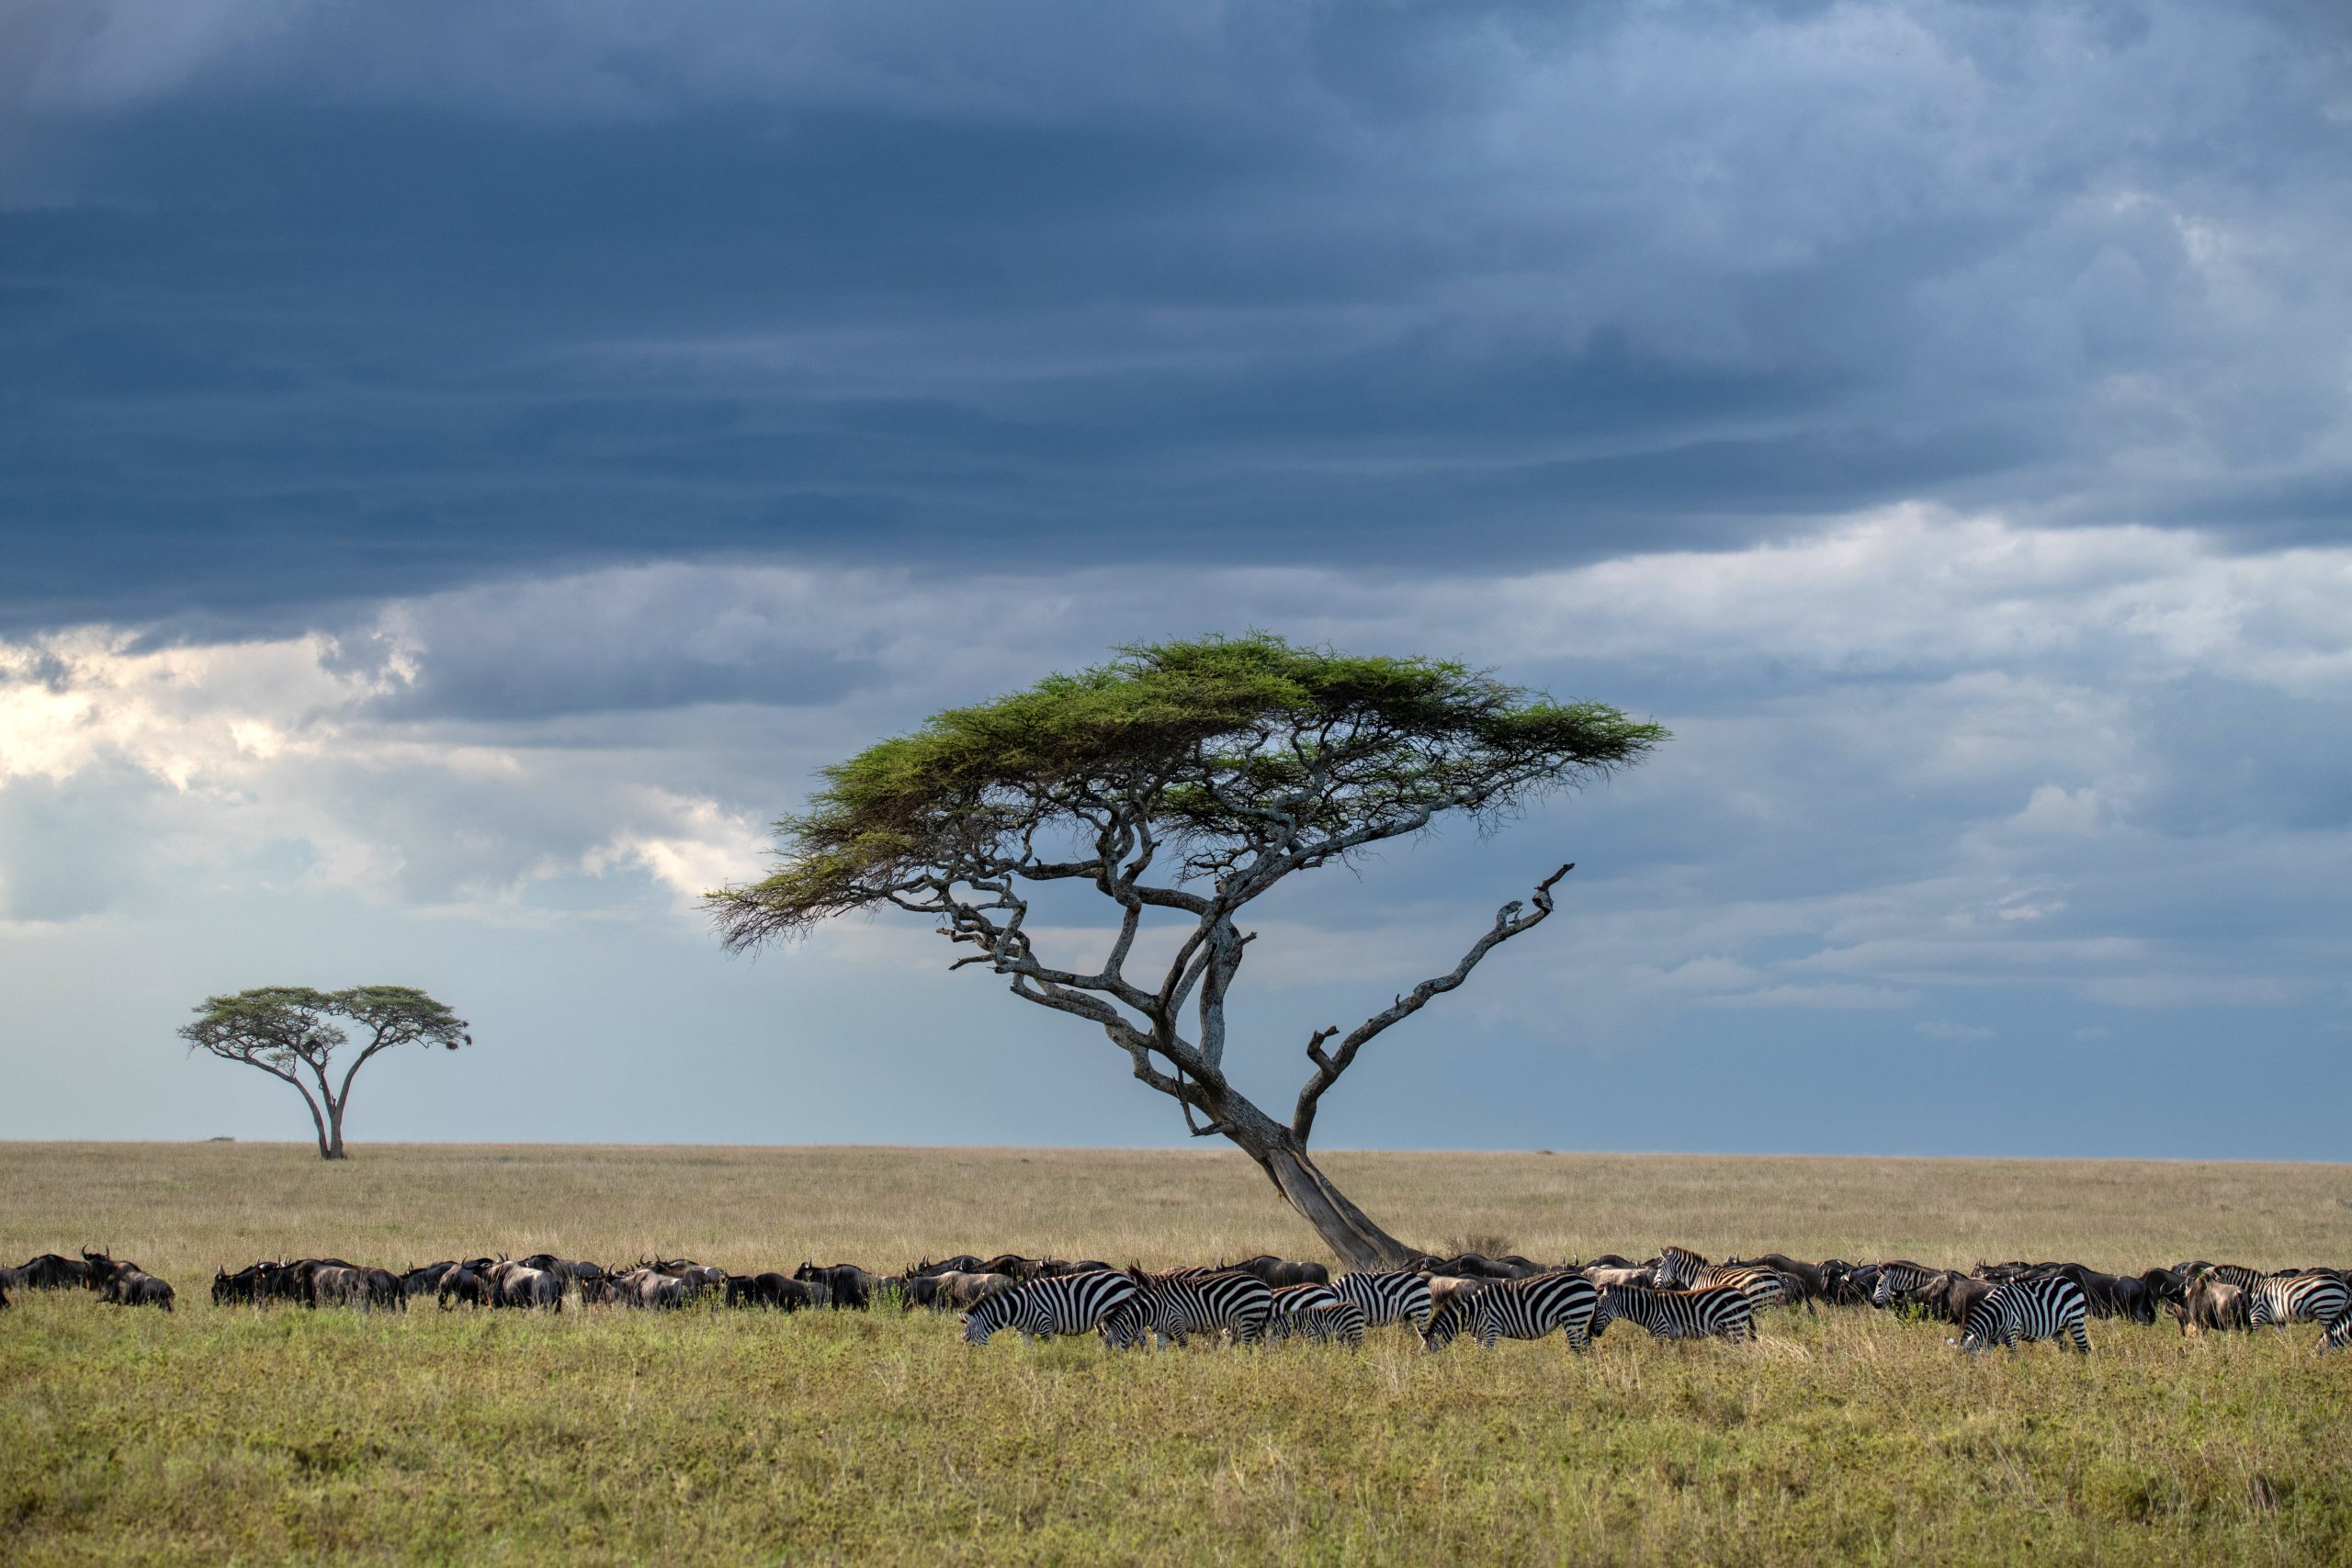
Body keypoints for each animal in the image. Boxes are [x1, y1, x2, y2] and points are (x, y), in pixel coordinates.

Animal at [963, 1270, 1139, 1346]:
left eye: (967, 1339)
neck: (1018, 1306)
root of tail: (1128, 1278)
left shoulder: (1045, 1325)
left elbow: (1049, 1350)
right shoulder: (1024, 1332)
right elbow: (1029, 1352)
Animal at [1101, 1269, 1274, 1350]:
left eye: (1110, 1348)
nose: (1113, 1367)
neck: (1152, 1308)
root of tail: (1262, 1283)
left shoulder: (1177, 1323)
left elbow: (1184, 1349)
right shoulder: (1161, 1332)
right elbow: (1160, 1354)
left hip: (1249, 1316)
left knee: (1247, 1347)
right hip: (1251, 1319)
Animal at [1423, 1271, 1598, 1353]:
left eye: (1430, 1350)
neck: (1470, 1312)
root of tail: (1588, 1281)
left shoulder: (1491, 1330)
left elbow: (1487, 1356)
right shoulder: (1478, 1335)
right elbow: (1480, 1356)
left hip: (1574, 1317)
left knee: (1579, 1349)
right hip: (1577, 1319)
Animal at [1593, 1283, 1755, 1343]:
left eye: (1599, 1308)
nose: (1593, 1333)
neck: (1648, 1308)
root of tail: (1741, 1293)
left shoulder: (1660, 1333)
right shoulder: (1669, 1336)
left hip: (1735, 1326)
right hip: (1726, 1331)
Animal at [1955, 1276, 2090, 1354]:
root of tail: (2070, 1281)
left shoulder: (2012, 1331)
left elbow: (2014, 1358)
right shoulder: (1991, 1341)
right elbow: (1986, 1356)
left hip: (2075, 1319)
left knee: (2084, 1348)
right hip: (2059, 1328)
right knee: (2063, 1348)